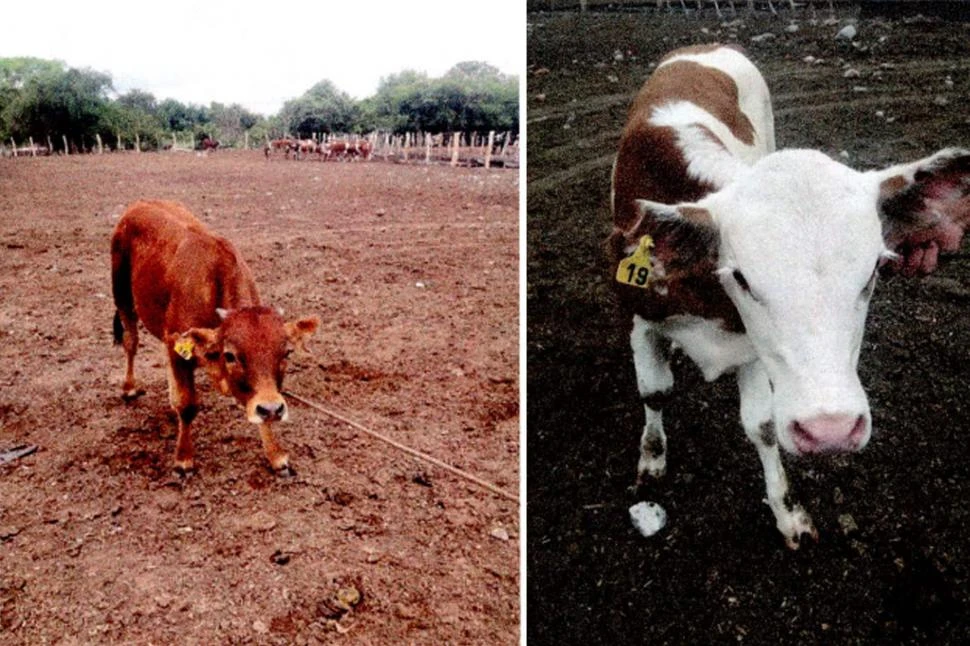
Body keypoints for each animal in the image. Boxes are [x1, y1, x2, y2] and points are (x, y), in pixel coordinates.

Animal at [112, 201, 318, 476]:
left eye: (287, 352)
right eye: (230, 355)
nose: (273, 410)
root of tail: (139, 205)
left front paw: (276, 456)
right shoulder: (178, 348)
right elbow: (187, 404)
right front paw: (184, 459)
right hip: (122, 295)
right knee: (131, 341)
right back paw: (129, 388)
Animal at [612, 44, 968, 552]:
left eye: (873, 272)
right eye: (741, 277)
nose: (830, 430)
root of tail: (703, 47)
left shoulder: (752, 348)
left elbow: (761, 427)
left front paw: (788, 512)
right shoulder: (642, 320)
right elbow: (655, 392)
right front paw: (652, 462)